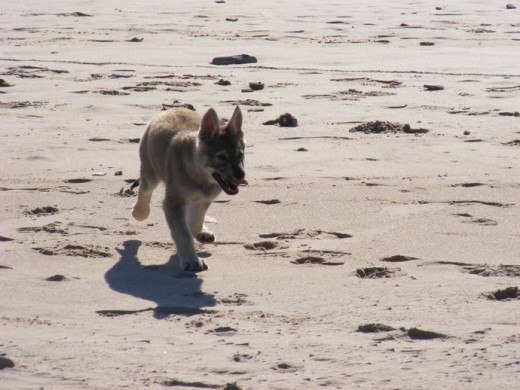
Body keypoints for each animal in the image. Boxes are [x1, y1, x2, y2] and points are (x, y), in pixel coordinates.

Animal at [134, 106, 248, 272]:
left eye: (240, 155)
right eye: (221, 157)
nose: (241, 175)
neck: (198, 174)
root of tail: (170, 109)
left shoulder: (203, 199)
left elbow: (195, 222)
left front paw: (200, 233)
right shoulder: (173, 202)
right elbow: (183, 234)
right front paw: (191, 260)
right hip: (150, 172)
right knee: (144, 190)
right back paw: (139, 212)